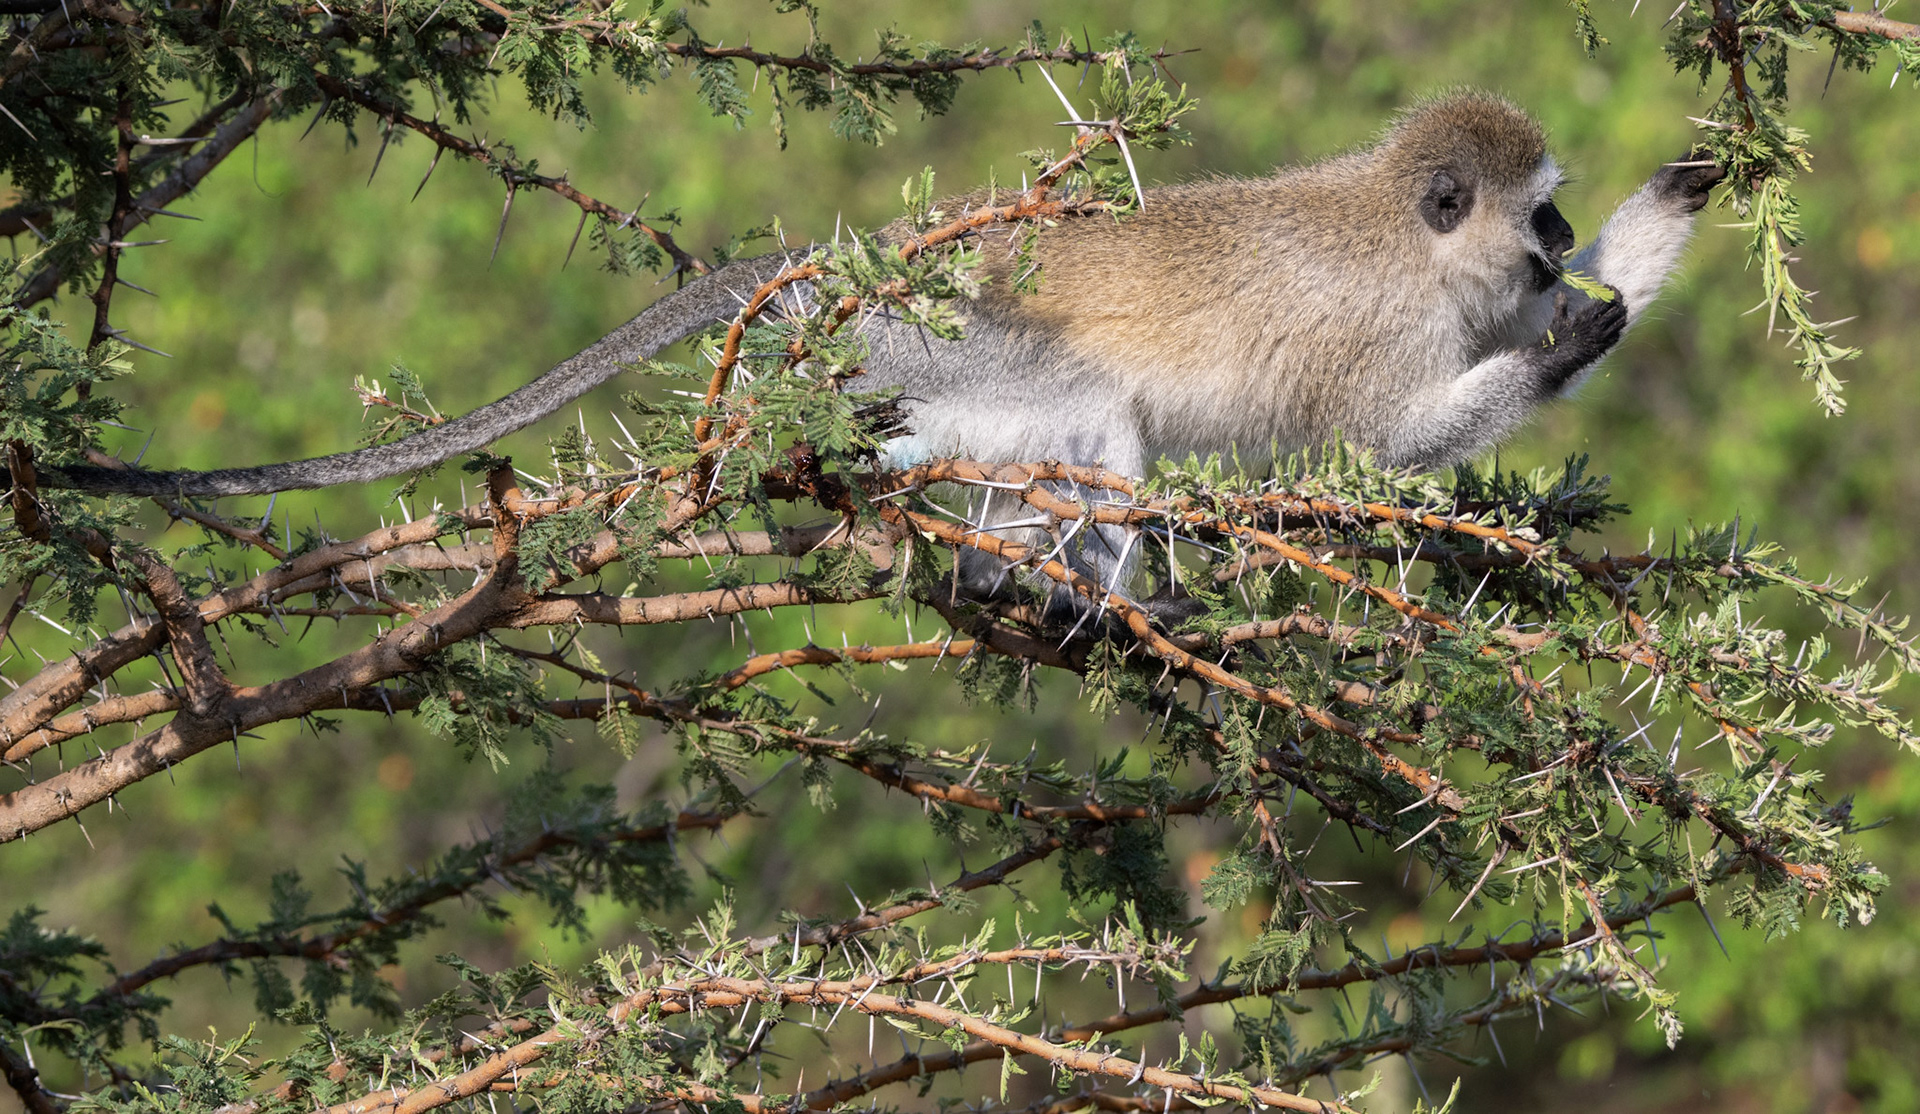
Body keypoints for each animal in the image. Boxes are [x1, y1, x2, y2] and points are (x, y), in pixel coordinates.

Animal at [21, 92, 1722, 613]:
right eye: (1539, 215)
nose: (1566, 242)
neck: (1409, 239)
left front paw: (1671, 215)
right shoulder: (1392, 331)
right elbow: (1381, 449)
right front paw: (1581, 325)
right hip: (948, 340)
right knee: (1083, 414)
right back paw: (1066, 586)